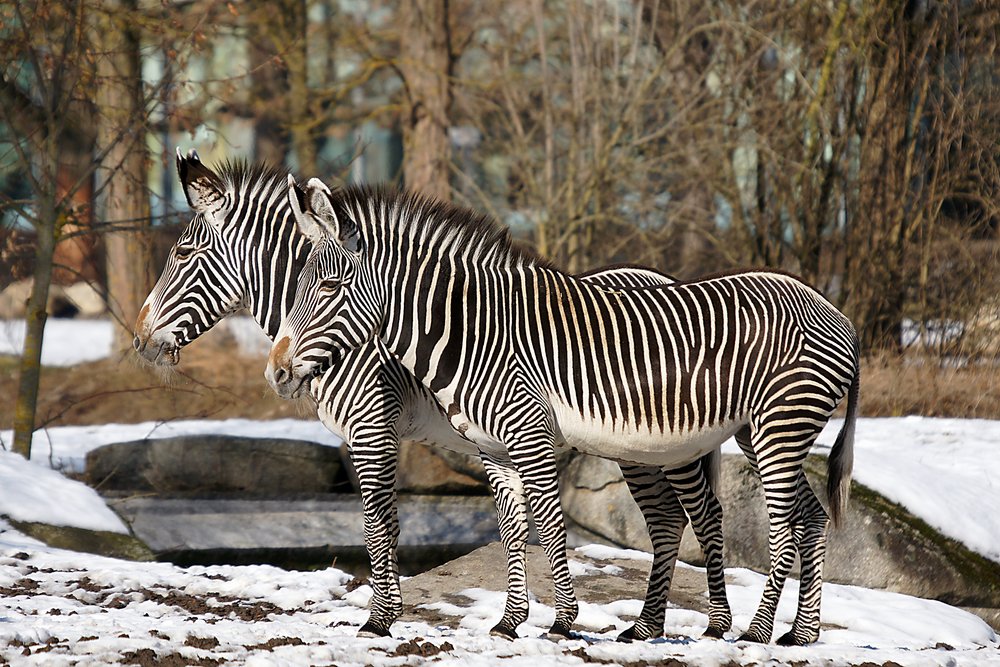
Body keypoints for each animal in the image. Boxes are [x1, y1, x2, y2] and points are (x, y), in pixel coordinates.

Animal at [133, 150, 733, 640]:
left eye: (183, 252)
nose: (138, 340)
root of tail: (665, 275)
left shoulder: (373, 424)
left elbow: (381, 523)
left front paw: (381, 618)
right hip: (637, 448)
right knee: (667, 520)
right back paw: (647, 628)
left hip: (668, 443)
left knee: (692, 515)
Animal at [266, 178, 861, 646]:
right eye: (297, 286)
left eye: (330, 286)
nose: (276, 372)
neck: (472, 333)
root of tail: (832, 310)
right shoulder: (493, 448)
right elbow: (513, 531)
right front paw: (510, 622)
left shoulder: (527, 433)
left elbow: (550, 529)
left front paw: (562, 621)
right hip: (758, 433)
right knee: (809, 517)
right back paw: (798, 633)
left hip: (776, 425)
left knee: (780, 526)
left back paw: (755, 632)